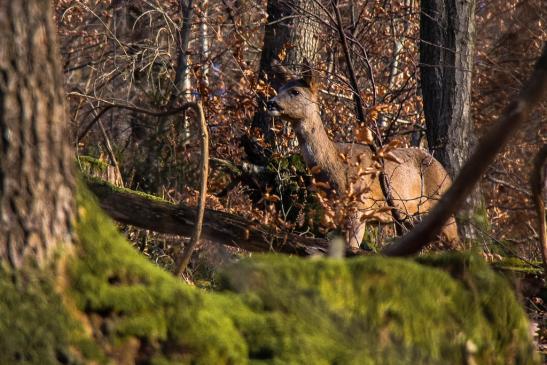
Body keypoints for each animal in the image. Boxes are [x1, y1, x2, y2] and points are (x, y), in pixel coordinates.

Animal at [266, 61, 458, 249]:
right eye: (280, 88)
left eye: (295, 91)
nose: (271, 103)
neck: (337, 168)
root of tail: (446, 173)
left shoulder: (359, 209)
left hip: (440, 204)